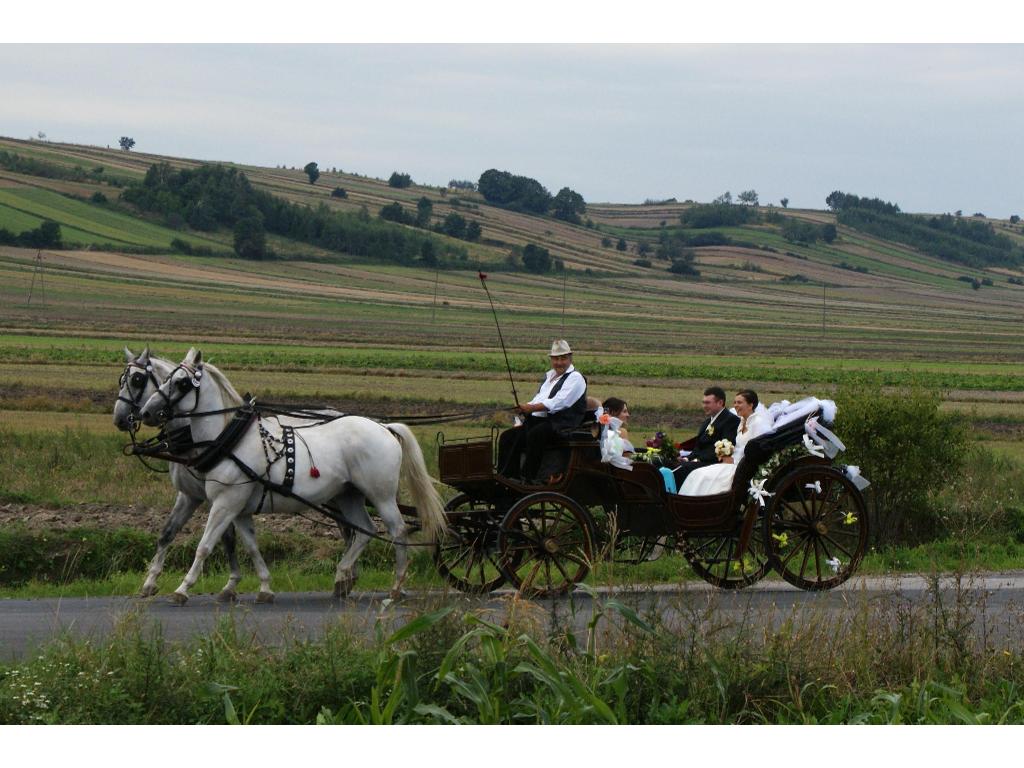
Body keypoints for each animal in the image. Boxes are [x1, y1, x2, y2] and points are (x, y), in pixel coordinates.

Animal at [113, 346, 272, 606]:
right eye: (121, 380)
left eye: (137, 379)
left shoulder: (216, 495)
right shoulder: (189, 494)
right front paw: (150, 582)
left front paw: (231, 583)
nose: (119, 418)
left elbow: (226, 537)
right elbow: (167, 533)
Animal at [138, 348, 446, 606]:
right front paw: (264, 588)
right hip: (348, 495)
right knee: (363, 531)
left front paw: (182, 589)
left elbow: (204, 546)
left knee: (397, 531)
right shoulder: (239, 507)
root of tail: (383, 426)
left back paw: (395, 587)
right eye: (167, 378)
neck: (228, 439)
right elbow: (251, 546)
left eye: (182, 383)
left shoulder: (225, 502)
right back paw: (342, 576)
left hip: (381, 495)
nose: (146, 412)